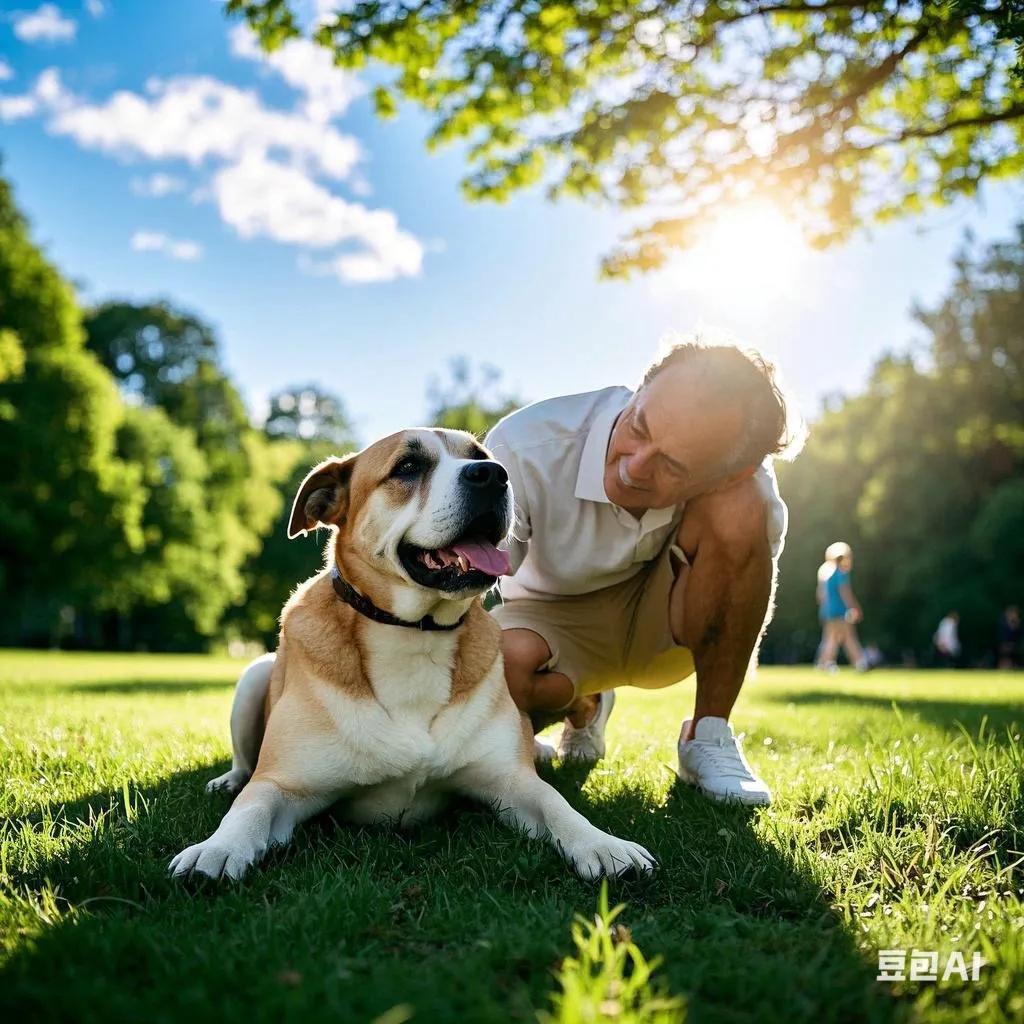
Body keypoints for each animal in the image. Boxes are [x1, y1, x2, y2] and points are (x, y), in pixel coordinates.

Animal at [169, 428, 655, 884]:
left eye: (480, 456)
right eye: (407, 467)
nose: (493, 474)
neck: (414, 632)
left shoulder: (510, 782)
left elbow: (556, 803)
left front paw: (602, 843)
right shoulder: (284, 784)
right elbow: (251, 805)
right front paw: (217, 848)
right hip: (255, 676)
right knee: (243, 762)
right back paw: (229, 779)